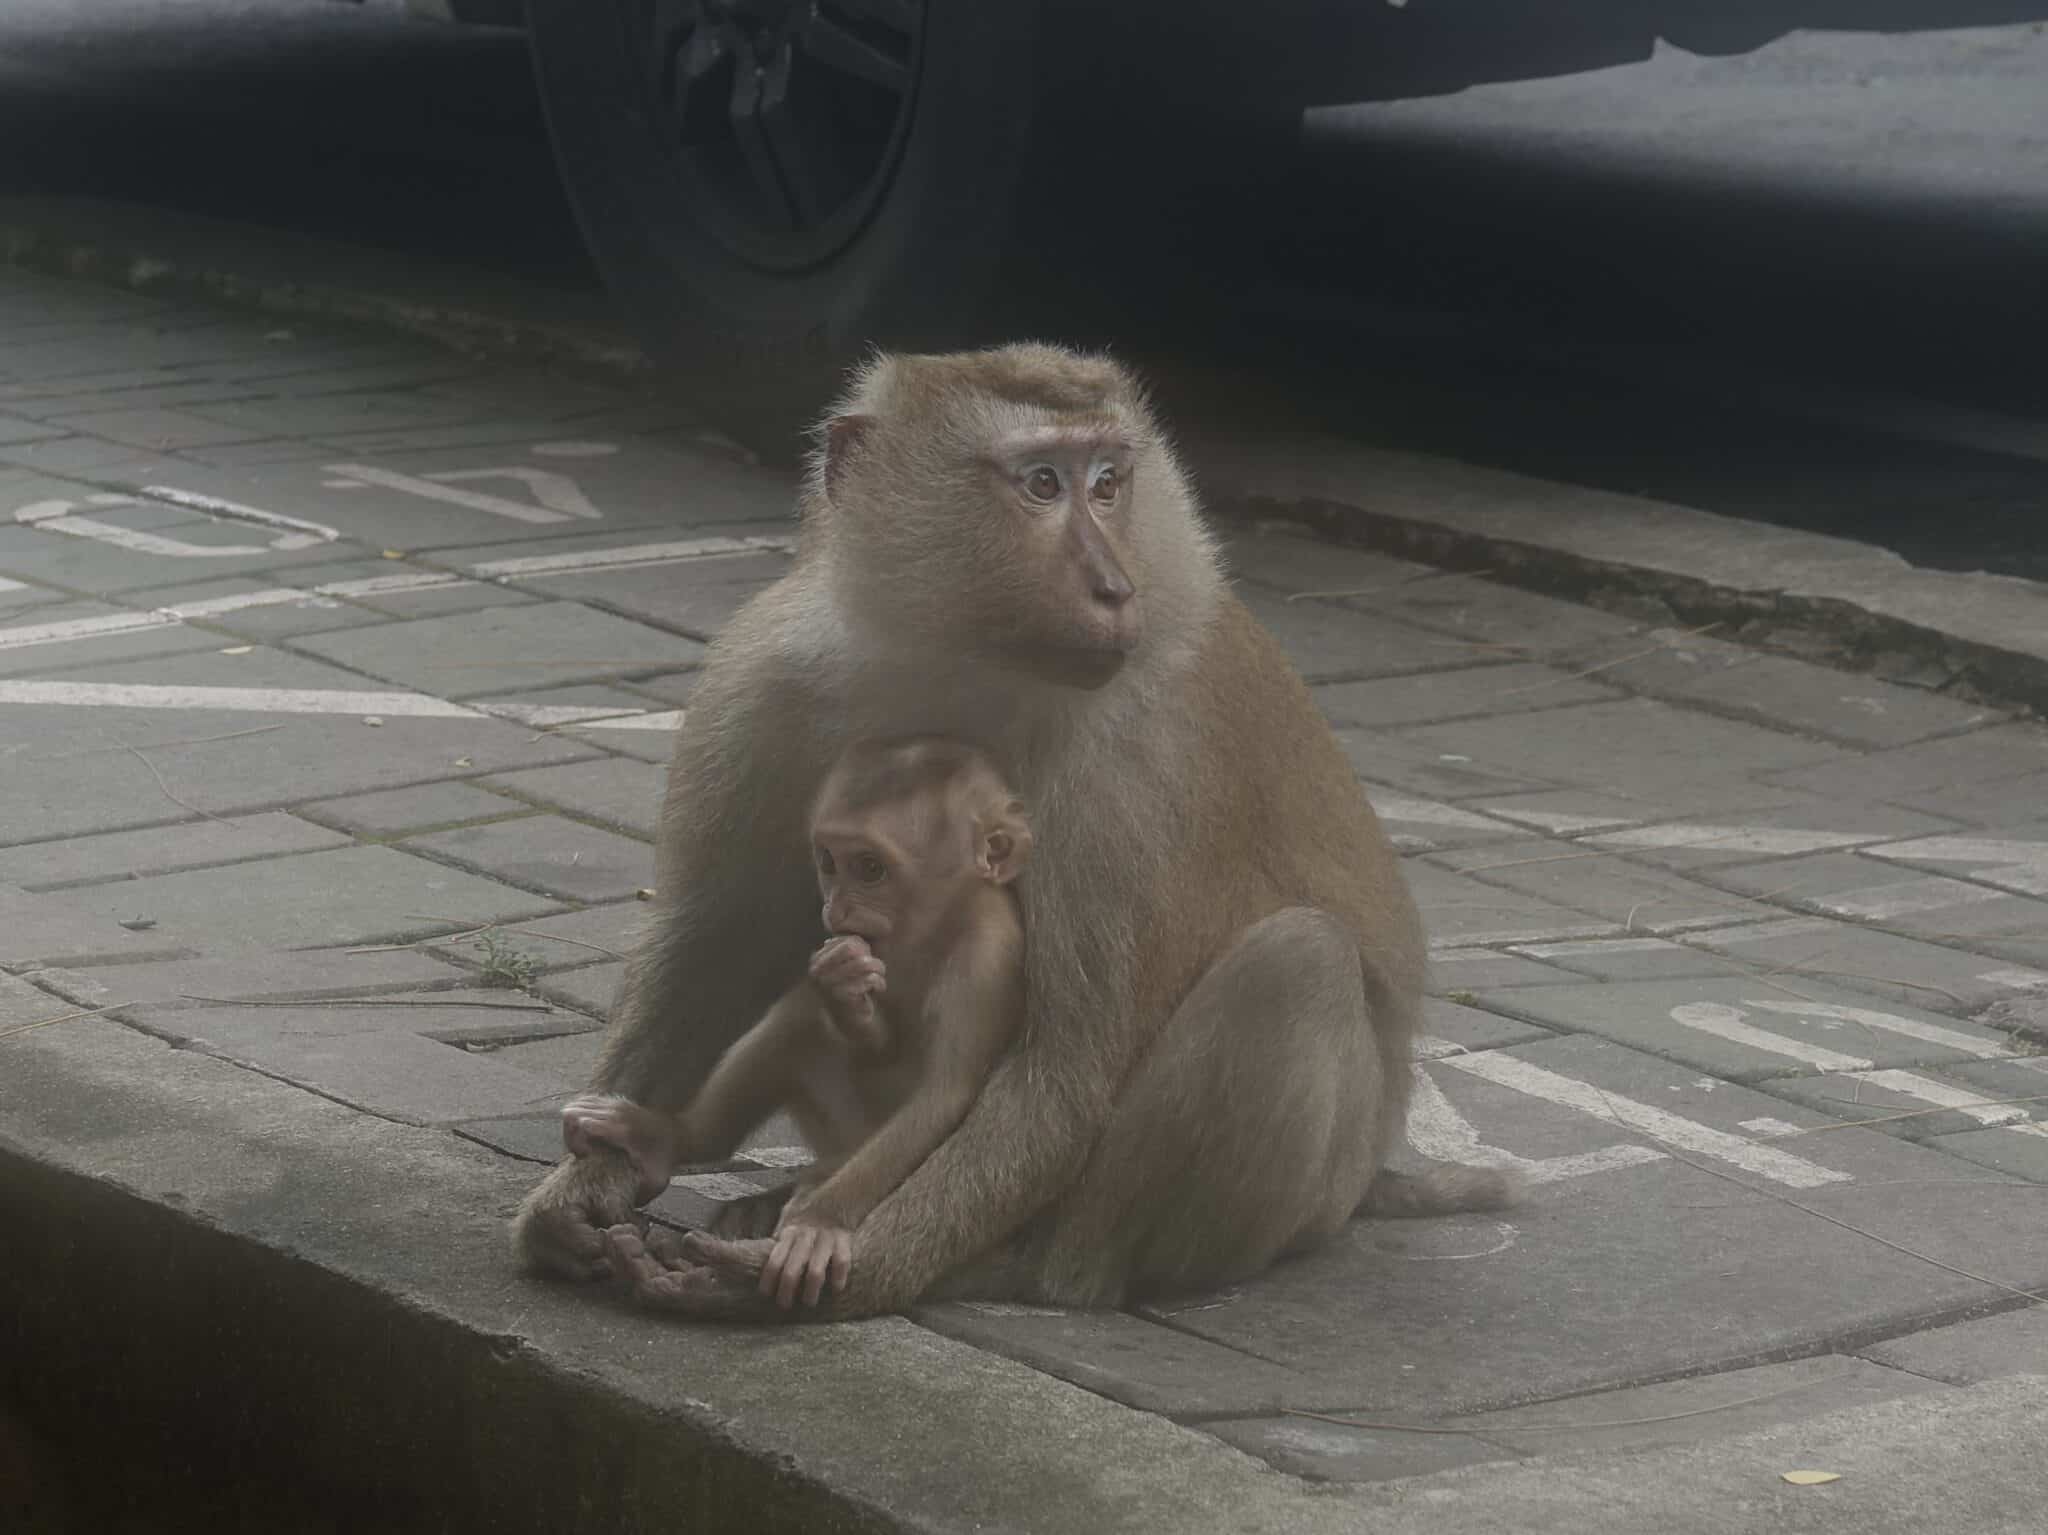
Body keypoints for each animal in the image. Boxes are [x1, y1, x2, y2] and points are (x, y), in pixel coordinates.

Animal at [559, 736, 1031, 1310]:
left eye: (870, 868)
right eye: (829, 862)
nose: (837, 906)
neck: (940, 922)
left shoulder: (984, 960)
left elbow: (943, 1094)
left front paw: (820, 1223)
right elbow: (872, 1037)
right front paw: (844, 991)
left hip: (851, 1143)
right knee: (798, 1020)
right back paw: (665, 1137)